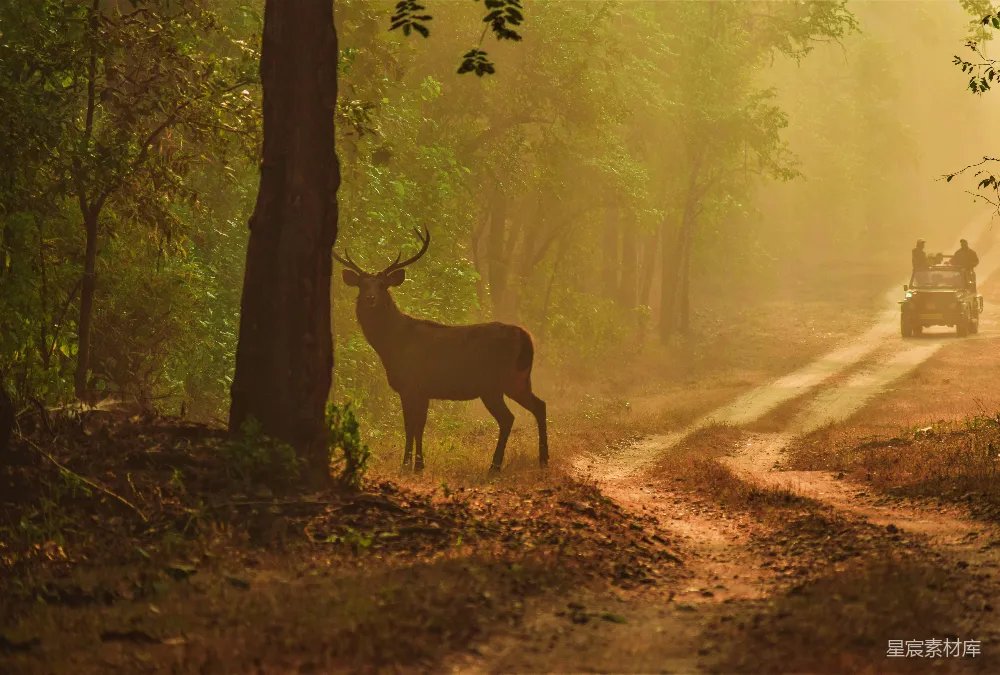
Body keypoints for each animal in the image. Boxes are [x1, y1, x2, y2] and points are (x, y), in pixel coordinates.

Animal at [334, 227, 548, 474]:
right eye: (362, 284)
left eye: (382, 285)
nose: (370, 298)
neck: (392, 345)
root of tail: (525, 337)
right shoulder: (423, 390)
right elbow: (419, 425)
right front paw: (419, 464)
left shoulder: (410, 384)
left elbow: (410, 425)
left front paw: (406, 464)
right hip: (517, 380)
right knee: (537, 406)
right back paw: (541, 460)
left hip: (498, 382)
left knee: (510, 417)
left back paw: (496, 465)